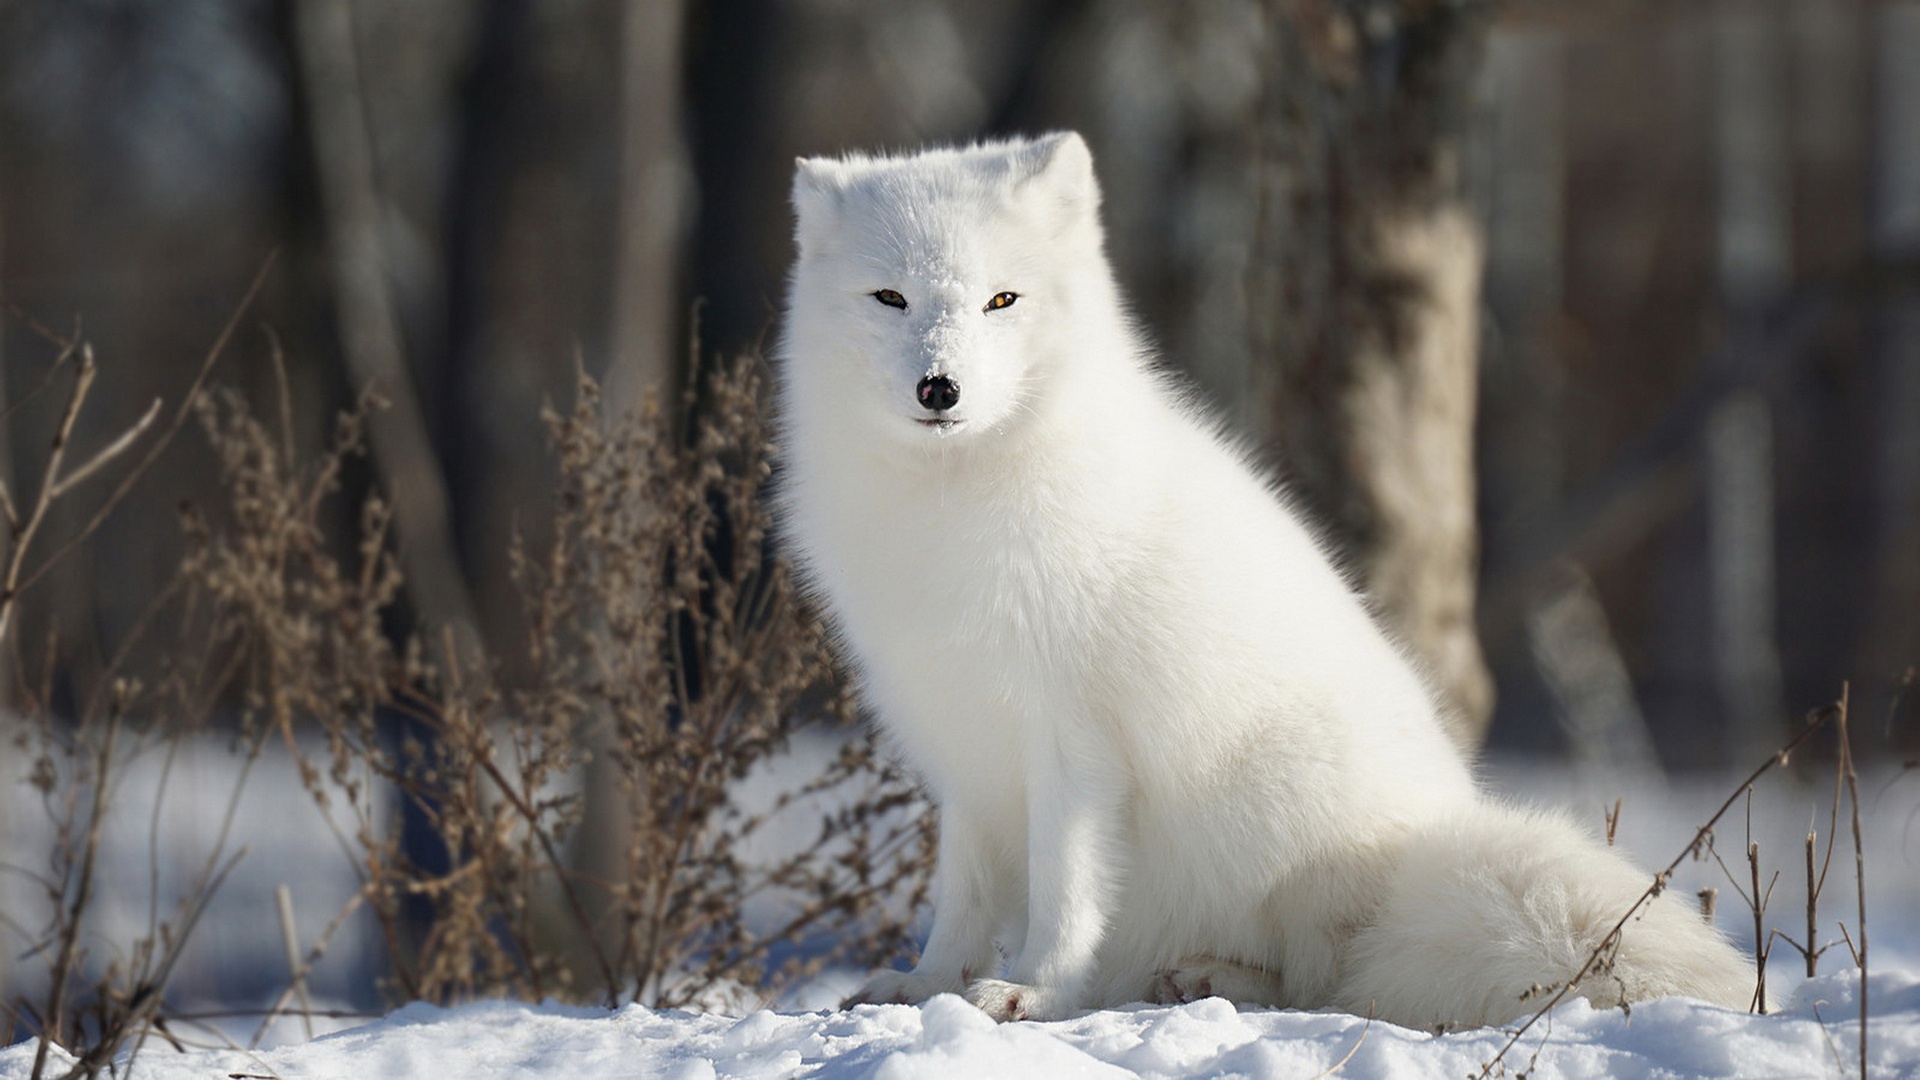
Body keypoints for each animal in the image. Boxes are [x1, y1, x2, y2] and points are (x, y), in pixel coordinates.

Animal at [771, 132, 1758, 1022]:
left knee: (1327, 982)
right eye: (891, 297)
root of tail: (1417, 858)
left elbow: (1065, 889)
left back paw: (1214, 979)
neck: (955, 507)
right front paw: (928, 984)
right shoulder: (963, 743)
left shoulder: (1073, 740)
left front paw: (1035, 991)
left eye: (1001, 299)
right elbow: (963, 896)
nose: (940, 388)